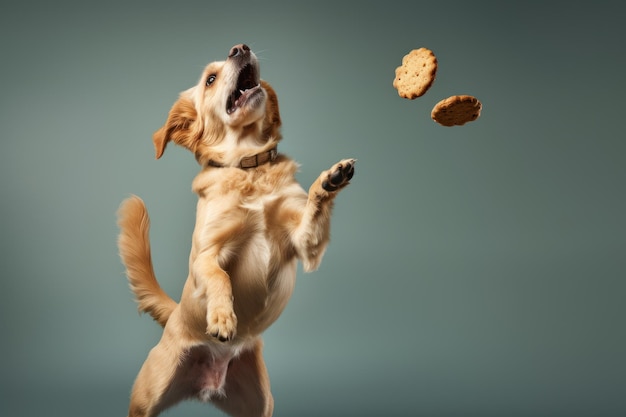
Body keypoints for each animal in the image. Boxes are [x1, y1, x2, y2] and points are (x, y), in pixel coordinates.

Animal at [115, 44, 354, 414]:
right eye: (210, 79)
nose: (240, 48)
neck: (248, 167)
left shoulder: (304, 245)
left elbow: (314, 208)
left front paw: (331, 179)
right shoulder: (205, 253)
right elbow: (219, 276)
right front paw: (222, 318)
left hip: (260, 404)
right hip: (145, 399)